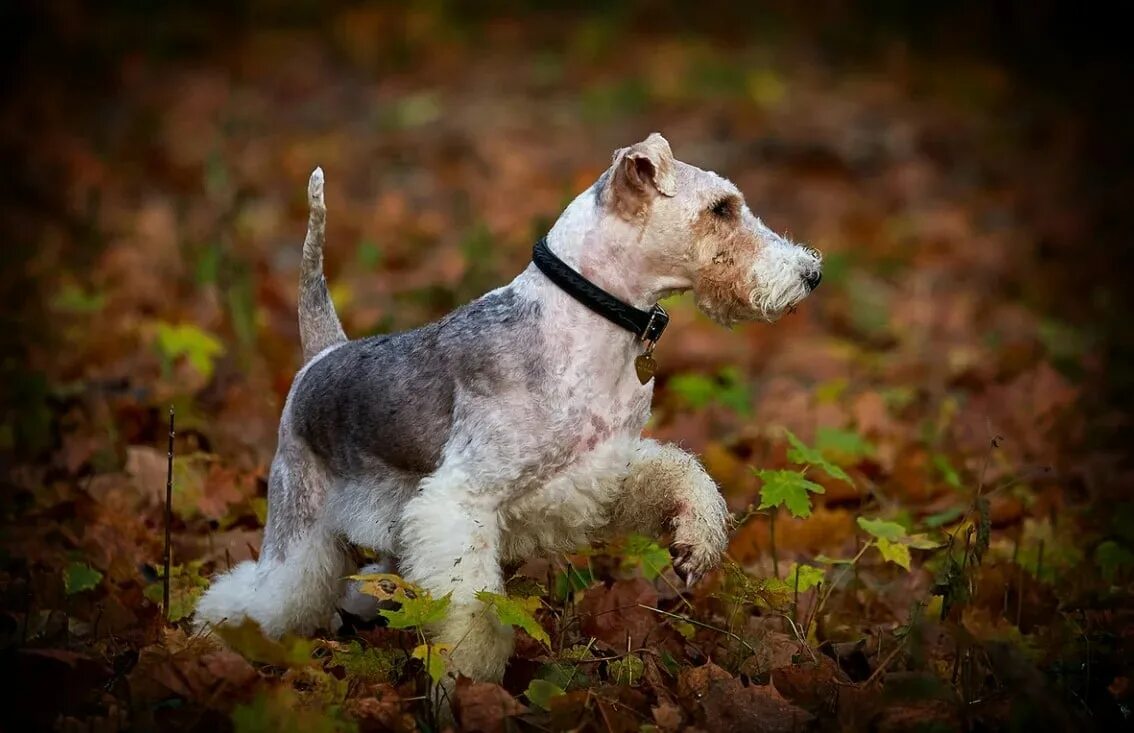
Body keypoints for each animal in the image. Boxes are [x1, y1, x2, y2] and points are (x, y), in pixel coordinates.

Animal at [199, 132, 821, 689]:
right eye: (721, 208)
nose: (811, 273)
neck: (584, 321)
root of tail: (321, 356)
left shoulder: (604, 469)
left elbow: (679, 473)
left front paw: (696, 540)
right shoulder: (460, 502)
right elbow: (472, 610)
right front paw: (470, 680)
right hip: (299, 526)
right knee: (263, 593)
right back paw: (212, 635)